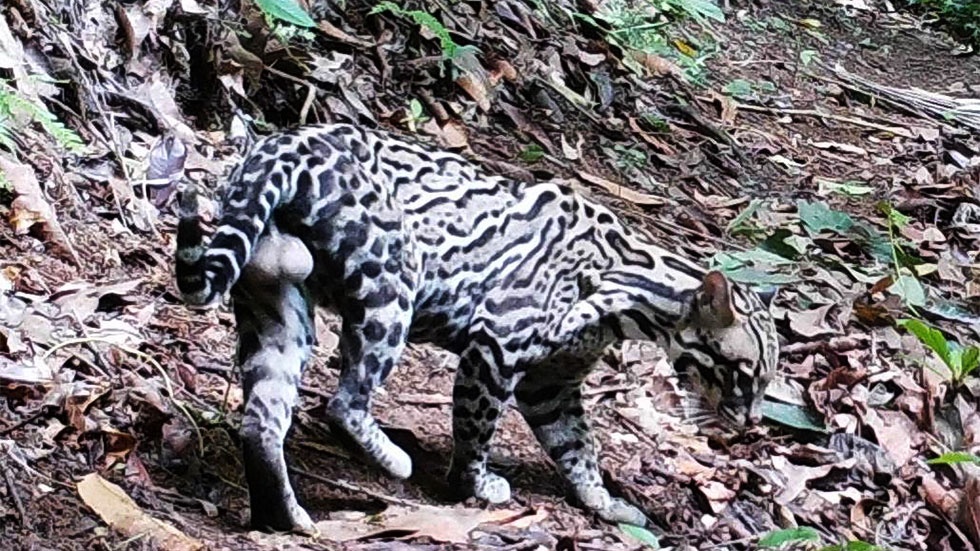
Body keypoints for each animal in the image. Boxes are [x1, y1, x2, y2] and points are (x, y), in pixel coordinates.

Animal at [174, 124, 772, 536]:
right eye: (744, 373)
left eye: (766, 381)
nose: (749, 425)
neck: (634, 284)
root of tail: (282, 142)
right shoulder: (497, 348)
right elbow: (476, 429)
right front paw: (475, 485)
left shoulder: (551, 384)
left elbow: (579, 447)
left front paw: (604, 502)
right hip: (392, 287)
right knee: (344, 402)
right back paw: (392, 458)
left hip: (276, 306)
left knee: (261, 421)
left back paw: (285, 516)